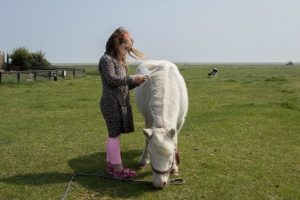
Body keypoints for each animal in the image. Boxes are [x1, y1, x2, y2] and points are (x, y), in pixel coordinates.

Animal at [135, 60, 189, 188]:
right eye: (151, 154)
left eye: (170, 155)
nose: (159, 184)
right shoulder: (148, 119)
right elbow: (147, 141)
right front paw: (144, 160)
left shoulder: (180, 121)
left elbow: (175, 141)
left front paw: (174, 167)